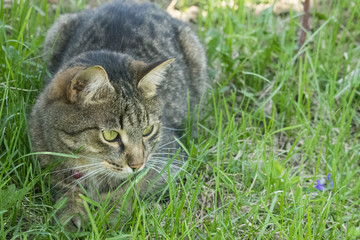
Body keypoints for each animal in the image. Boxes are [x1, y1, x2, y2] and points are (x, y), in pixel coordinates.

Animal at [30, 0, 207, 229]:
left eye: (148, 130)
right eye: (111, 136)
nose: (137, 164)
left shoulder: (169, 159)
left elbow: (129, 188)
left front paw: (112, 216)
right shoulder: (47, 160)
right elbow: (67, 190)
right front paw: (71, 216)